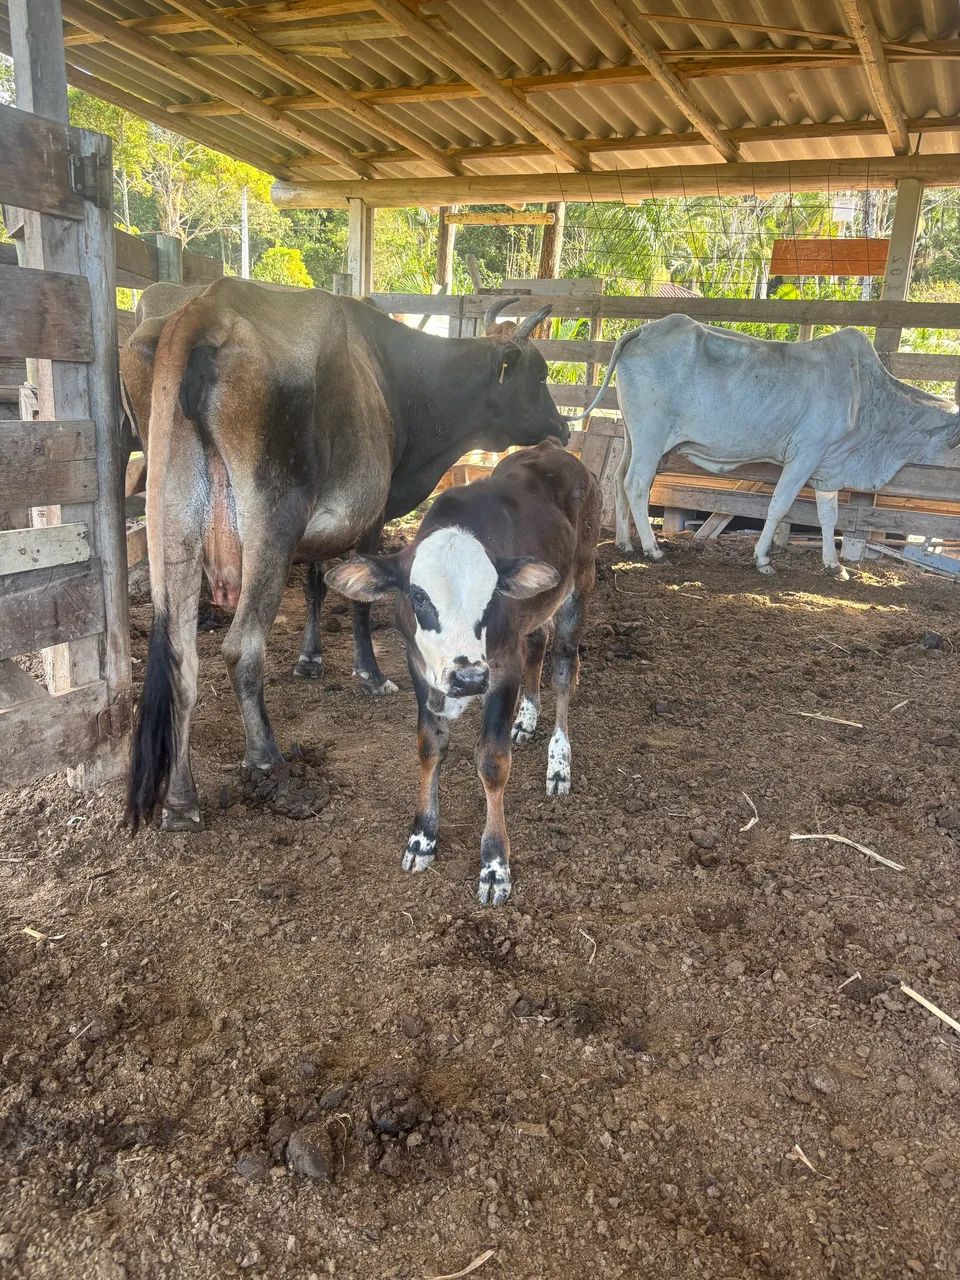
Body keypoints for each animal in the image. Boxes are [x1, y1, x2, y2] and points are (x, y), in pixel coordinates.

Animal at [119, 277, 569, 833]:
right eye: (540, 373)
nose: (562, 428)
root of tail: (203, 307)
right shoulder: (371, 510)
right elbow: (359, 598)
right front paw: (370, 674)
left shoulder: (324, 521)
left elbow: (318, 582)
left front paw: (310, 659)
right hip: (272, 517)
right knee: (241, 647)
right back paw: (266, 758)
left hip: (172, 519)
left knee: (181, 657)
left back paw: (181, 801)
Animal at [326, 442, 601, 907]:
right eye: (418, 596)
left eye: (490, 597)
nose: (469, 679)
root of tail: (557, 450)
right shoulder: (420, 667)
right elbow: (430, 747)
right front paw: (422, 838)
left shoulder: (502, 669)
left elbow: (492, 761)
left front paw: (494, 864)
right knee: (537, 644)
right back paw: (526, 721)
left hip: (579, 584)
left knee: (564, 668)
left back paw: (559, 762)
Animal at [575, 315, 960, 577]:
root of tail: (644, 330)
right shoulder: (805, 455)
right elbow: (779, 505)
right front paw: (762, 558)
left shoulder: (828, 465)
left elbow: (829, 516)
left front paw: (834, 565)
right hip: (652, 438)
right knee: (636, 484)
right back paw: (652, 549)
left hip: (633, 437)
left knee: (618, 479)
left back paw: (625, 542)